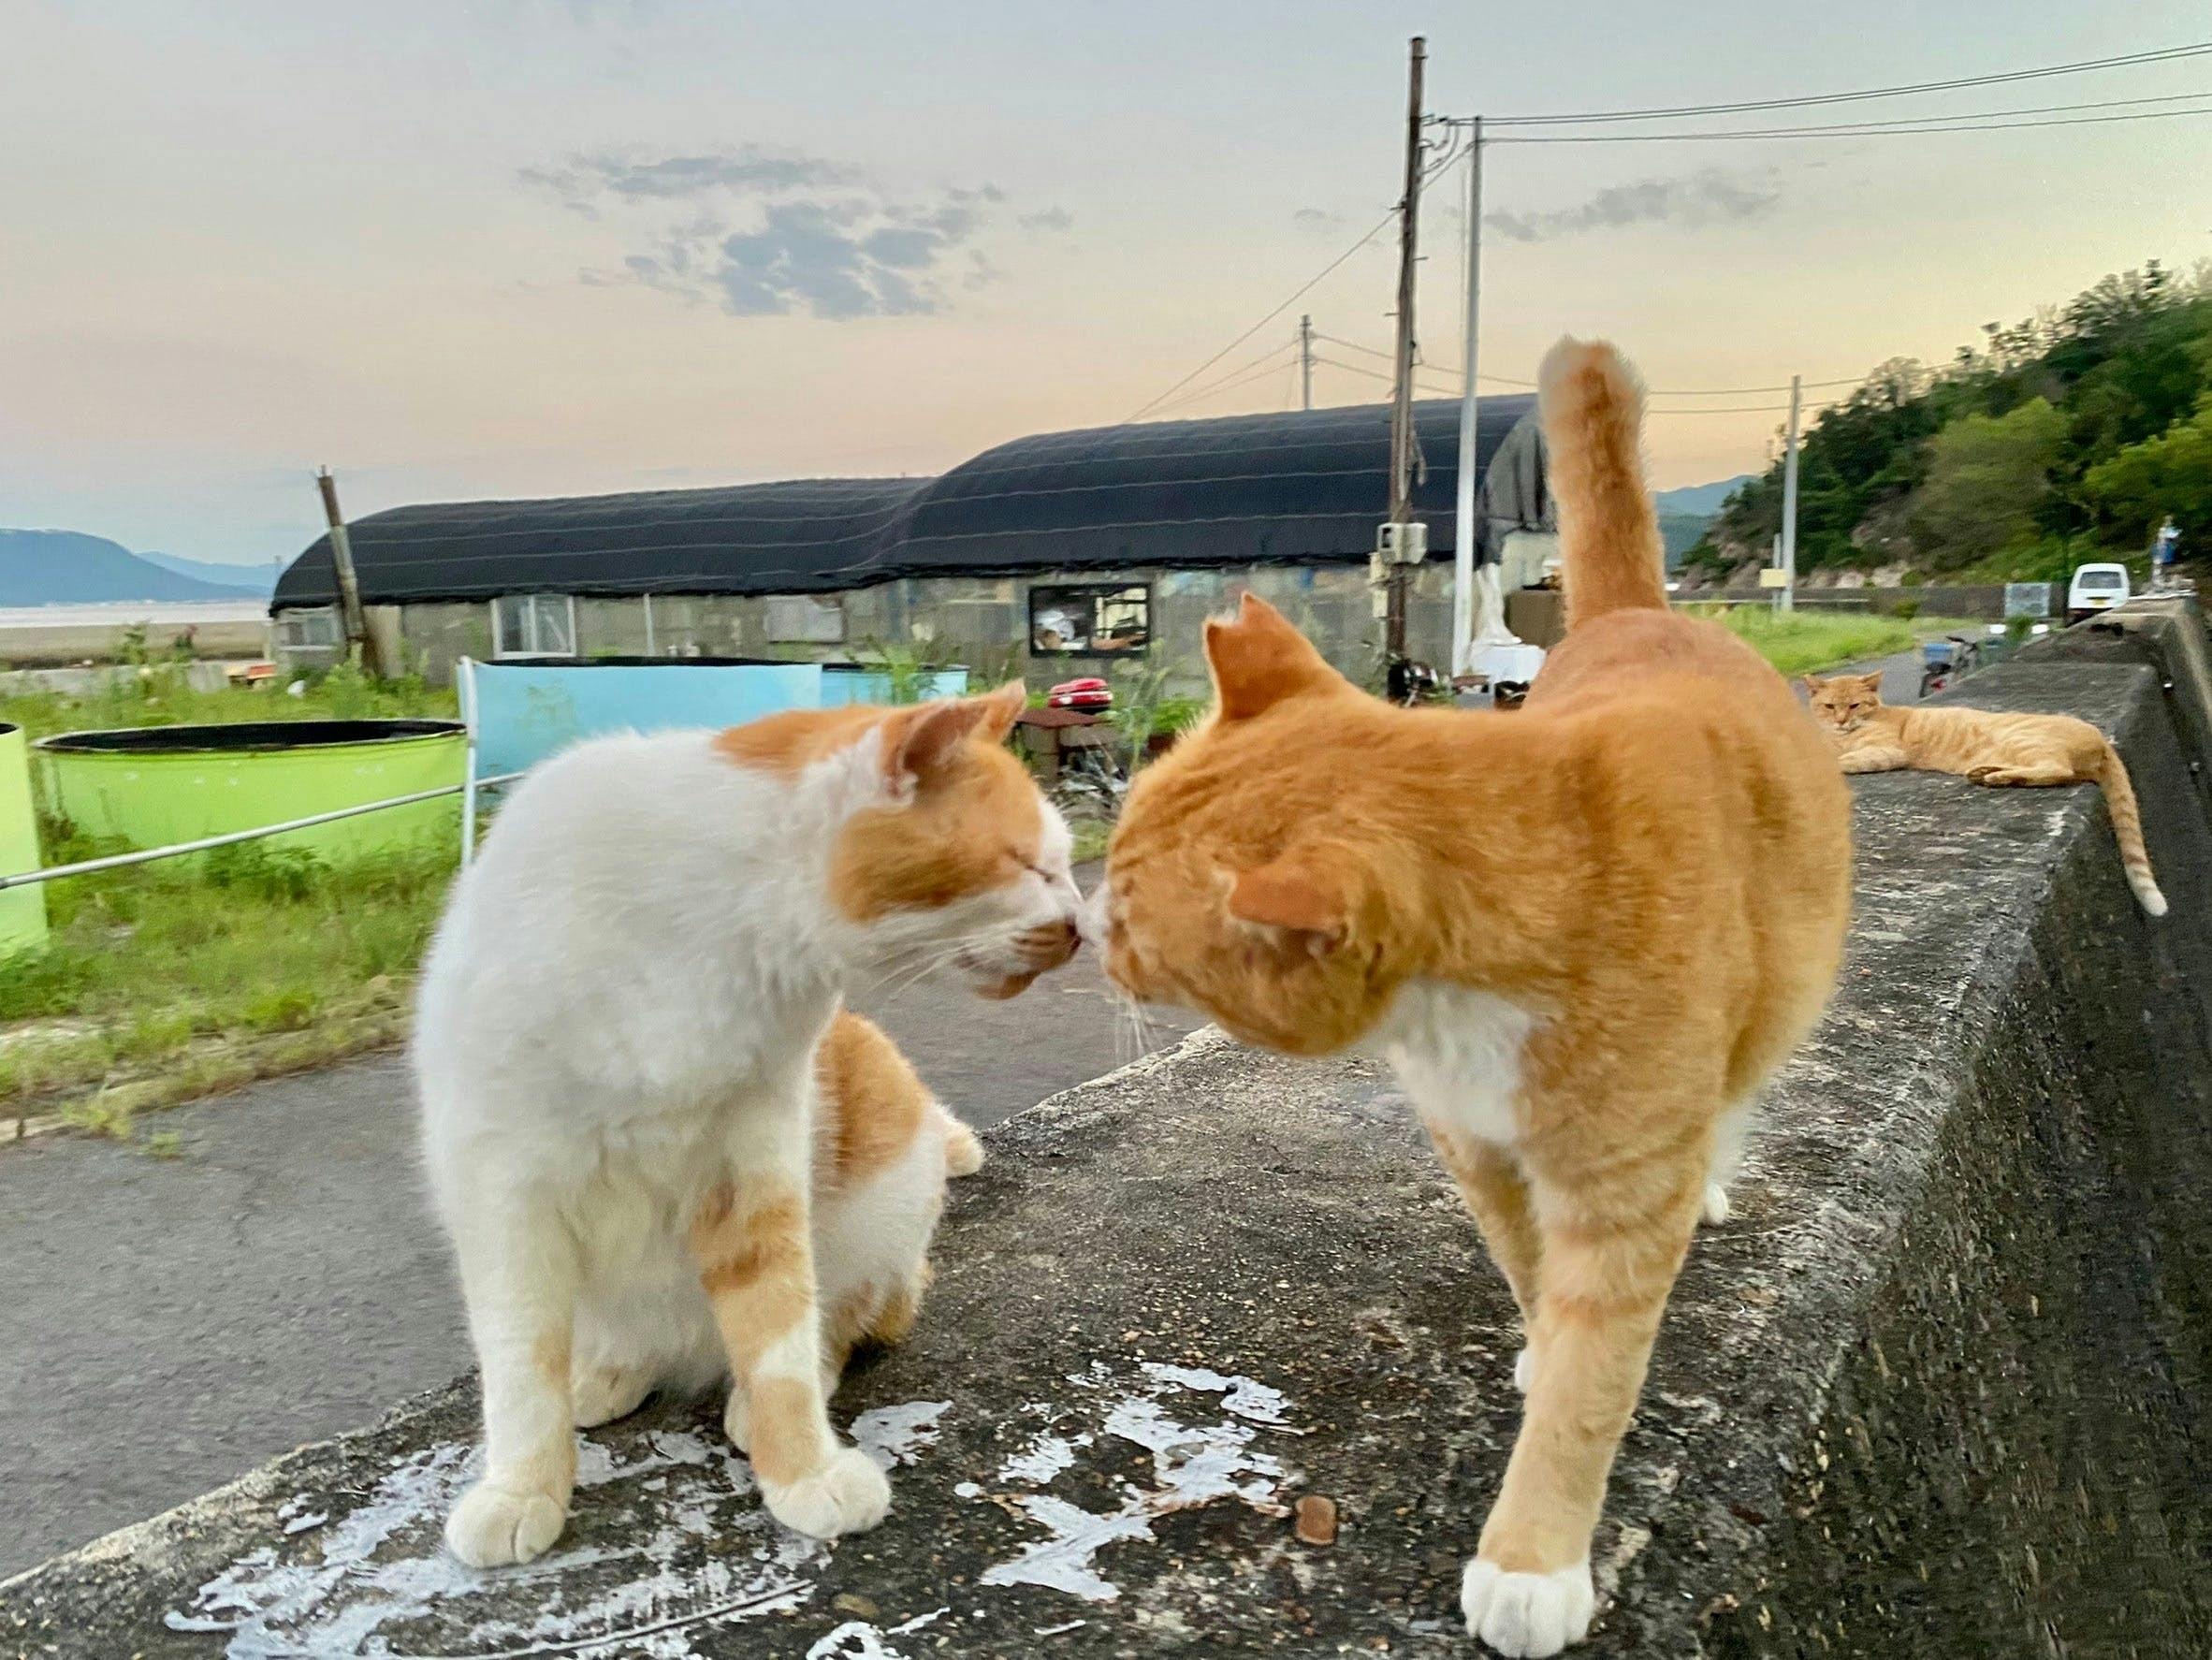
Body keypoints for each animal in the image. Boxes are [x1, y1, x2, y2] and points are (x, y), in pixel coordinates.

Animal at [415, 681, 1079, 1566]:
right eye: (1030, 863)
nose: (1081, 926)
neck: (701, 941)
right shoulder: (503, 1196)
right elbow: (521, 1368)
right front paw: (523, 1485)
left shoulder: (752, 1169)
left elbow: (779, 1336)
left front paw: (800, 1464)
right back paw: (602, 1374)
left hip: (883, 1188)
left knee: (846, 1317)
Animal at [1101, 334, 1849, 1655]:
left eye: (1138, 915)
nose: (1089, 923)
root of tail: (1640, 616)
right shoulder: (1474, 1143)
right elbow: (1527, 1267)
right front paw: (1539, 1337)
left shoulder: (1620, 1192)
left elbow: (1594, 1382)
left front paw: (1534, 1555)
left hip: (1775, 1004)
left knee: (1734, 1096)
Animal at [1813, 668, 2159, 925]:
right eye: (1830, 707)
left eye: (1854, 706)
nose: (1841, 721)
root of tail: (2102, 740)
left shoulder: (1885, 750)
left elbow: (1841, 758)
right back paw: (1985, 772)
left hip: (2023, 740)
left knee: (2056, 769)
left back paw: (1996, 777)